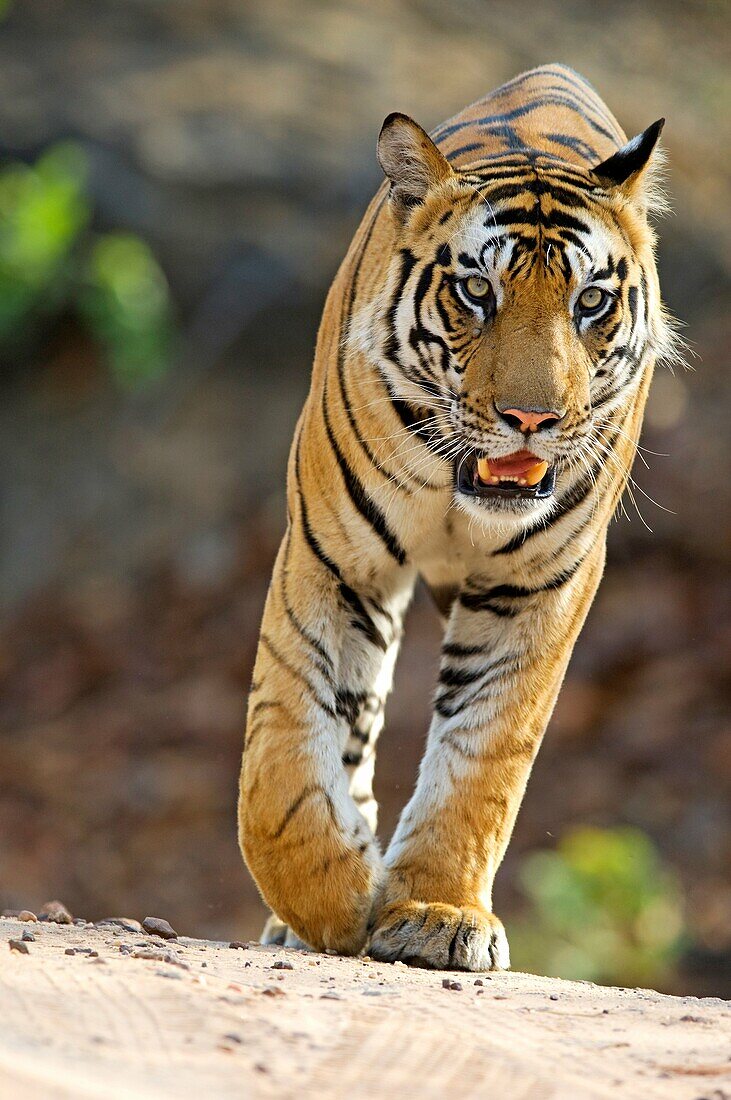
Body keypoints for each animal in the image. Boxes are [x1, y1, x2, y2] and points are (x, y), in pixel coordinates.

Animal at [236, 62, 677, 972]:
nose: (532, 418)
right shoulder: (332, 559)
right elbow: (284, 754)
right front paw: (331, 899)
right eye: (478, 291)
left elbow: (484, 758)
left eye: (589, 302)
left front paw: (437, 912)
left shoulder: (540, 587)